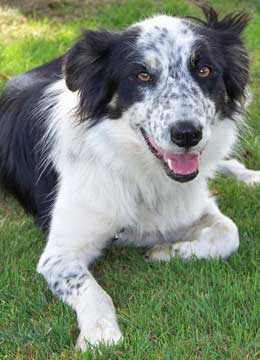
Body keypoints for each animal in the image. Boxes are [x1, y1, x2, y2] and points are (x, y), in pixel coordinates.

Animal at [0, 4, 260, 348]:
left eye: (205, 70)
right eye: (142, 75)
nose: (187, 134)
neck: (140, 174)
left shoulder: (191, 205)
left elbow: (229, 233)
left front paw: (166, 251)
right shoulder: (60, 253)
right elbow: (91, 289)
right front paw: (100, 334)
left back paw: (251, 177)